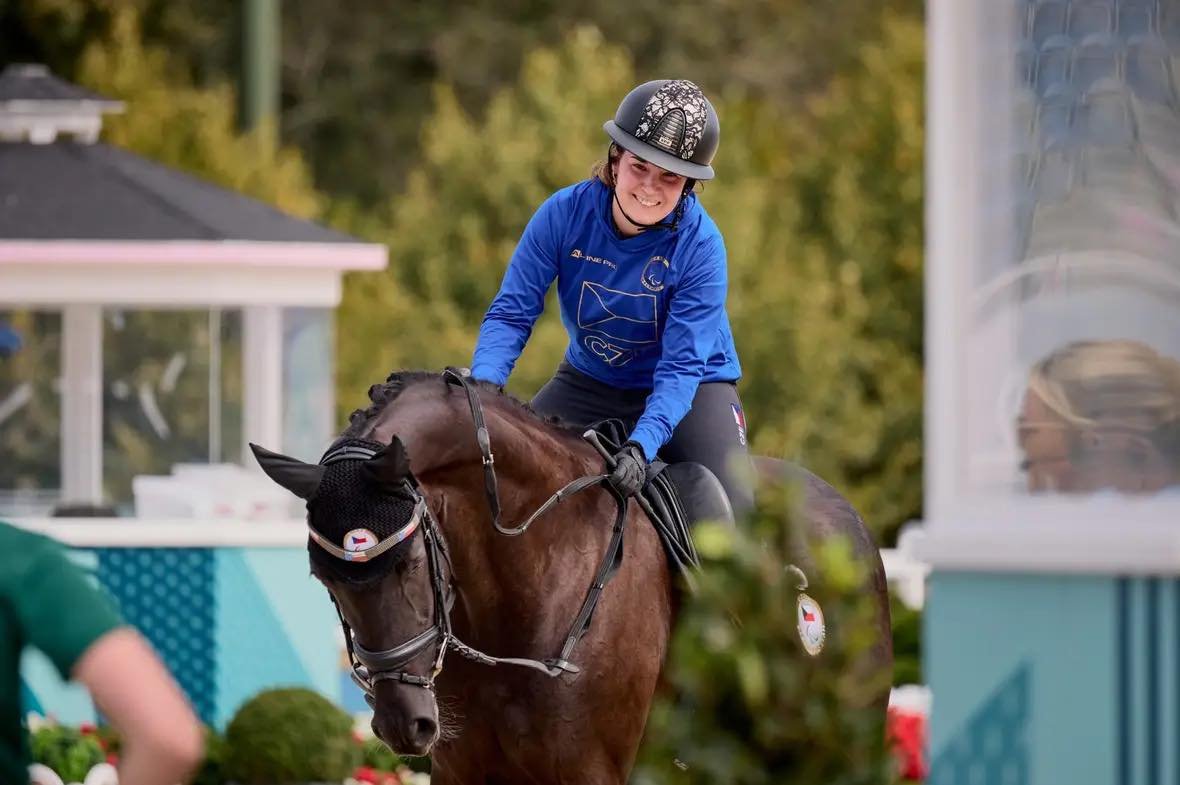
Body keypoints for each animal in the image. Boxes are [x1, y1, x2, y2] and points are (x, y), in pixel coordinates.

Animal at [251, 370, 892, 779]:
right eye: (324, 579)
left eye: (408, 563)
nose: (402, 723)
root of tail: (847, 515)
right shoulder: (466, 770)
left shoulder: (588, 770)